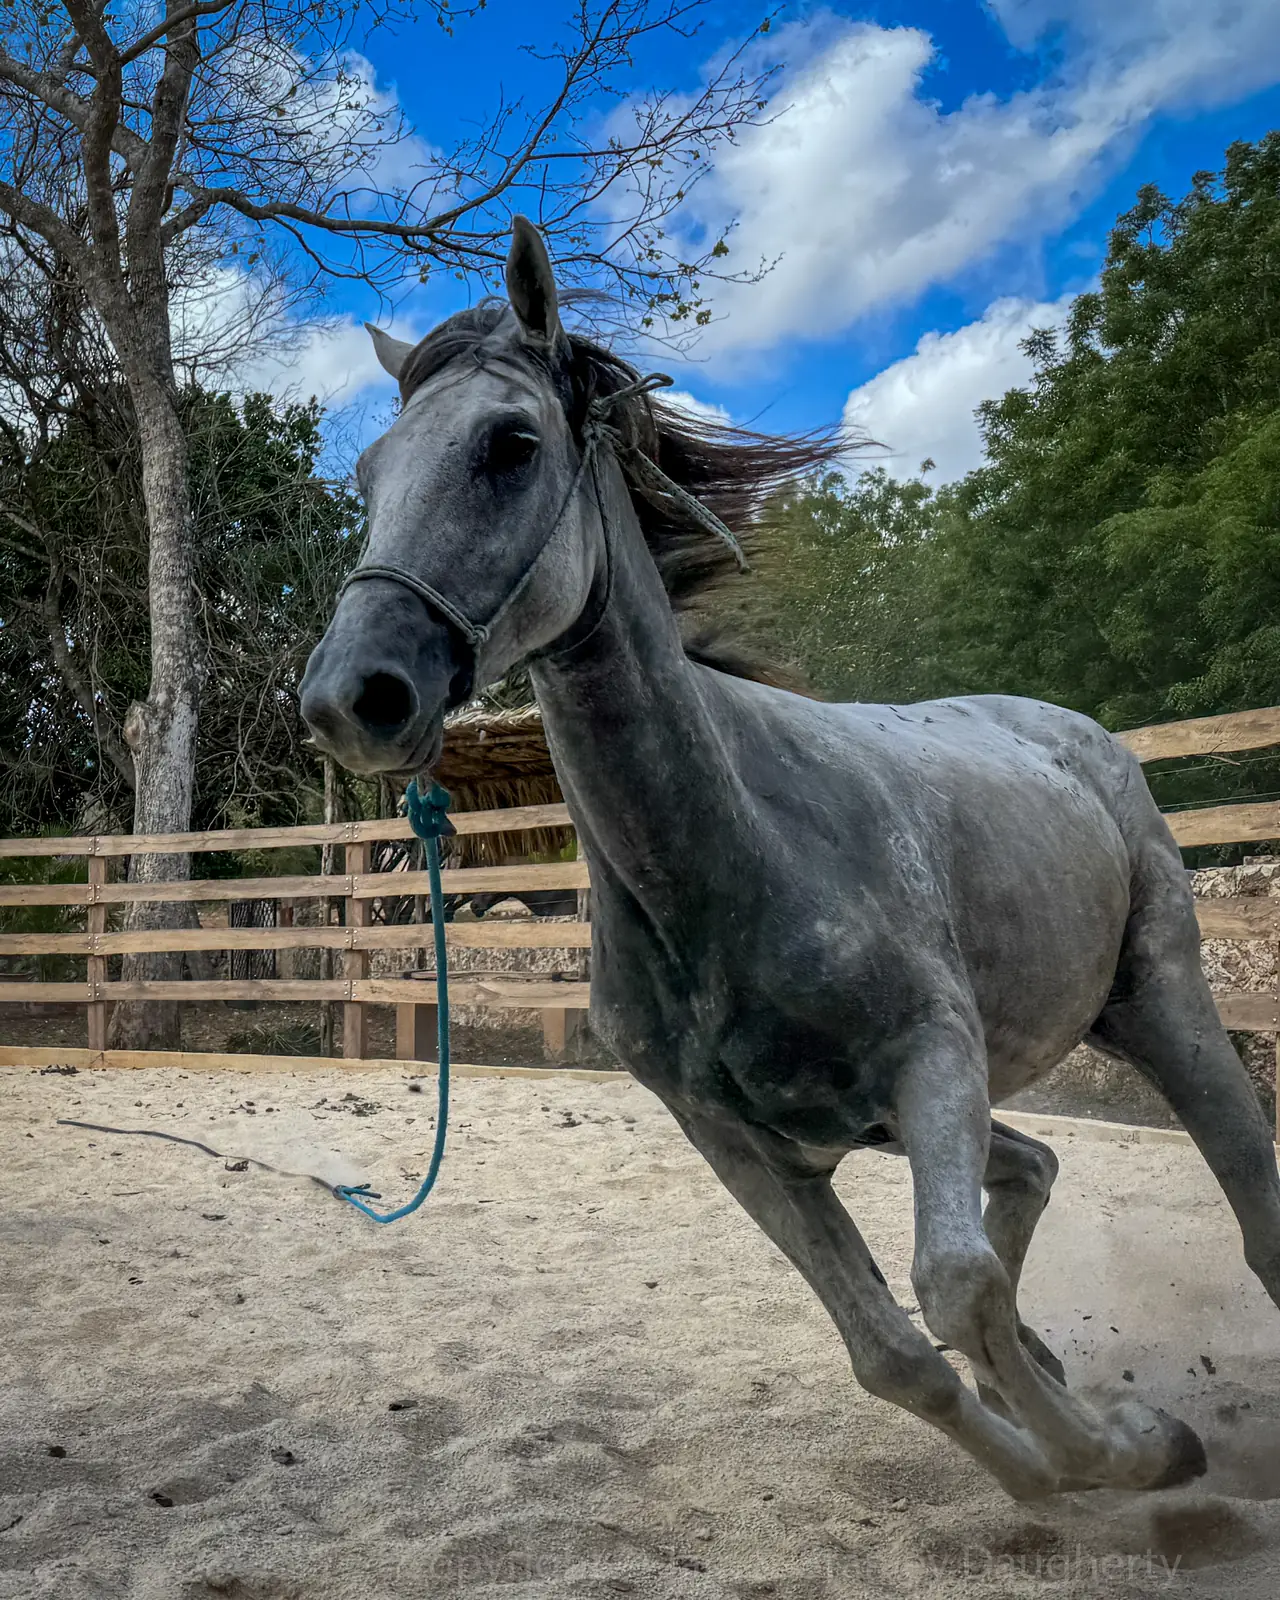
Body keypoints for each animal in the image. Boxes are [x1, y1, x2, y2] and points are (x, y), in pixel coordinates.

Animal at [300, 216, 1280, 1499]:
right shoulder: (741, 1143)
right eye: (369, 474)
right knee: (1028, 1172)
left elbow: (952, 1289)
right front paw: (1044, 1461)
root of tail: (1071, 733)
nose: (348, 697)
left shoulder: (931, 1059)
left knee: (1247, 1204)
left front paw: (1130, 1450)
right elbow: (894, 1354)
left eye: (510, 445)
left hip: (1159, 1004)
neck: (729, 860)